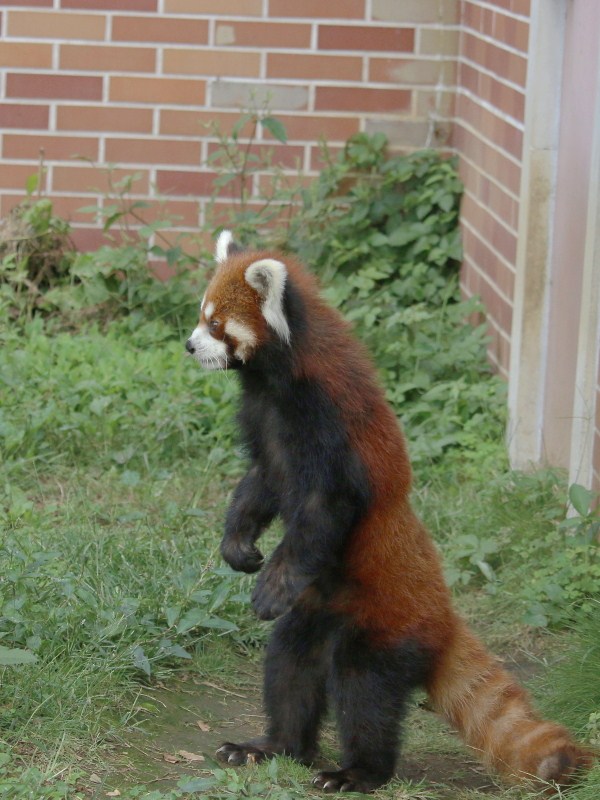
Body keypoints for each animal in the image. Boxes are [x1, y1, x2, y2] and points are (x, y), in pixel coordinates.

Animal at [185, 231, 592, 792]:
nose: (188, 345)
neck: (278, 382)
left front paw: (272, 584)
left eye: (216, 324)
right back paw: (272, 746)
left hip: (385, 628)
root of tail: (444, 618)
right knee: (290, 666)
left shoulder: (330, 429)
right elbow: (257, 488)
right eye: (200, 316)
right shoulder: (266, 434)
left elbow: (323, 512)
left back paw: (356, 772)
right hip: (315, 614)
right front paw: (237, 545)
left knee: (364, 690)